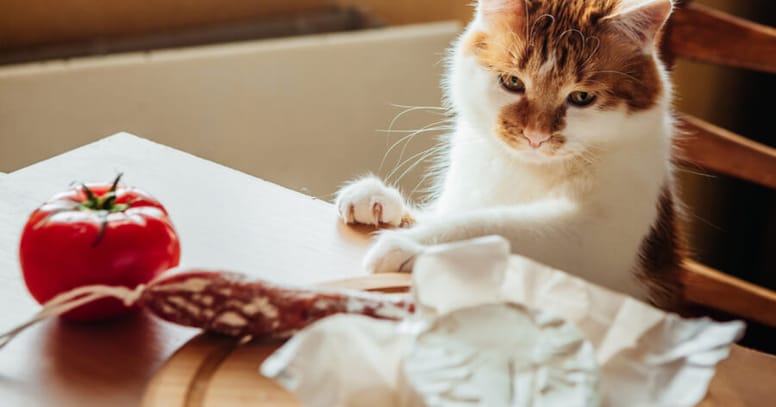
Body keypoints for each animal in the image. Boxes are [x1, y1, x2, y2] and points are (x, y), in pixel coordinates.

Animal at [336, 0, 684, 308]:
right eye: (512, 82)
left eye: (582, 97)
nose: (535, 137)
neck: (527, 169)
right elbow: (445, 213)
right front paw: (377, 200)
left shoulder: (597, 234)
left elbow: (489, 224)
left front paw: (412, 244)